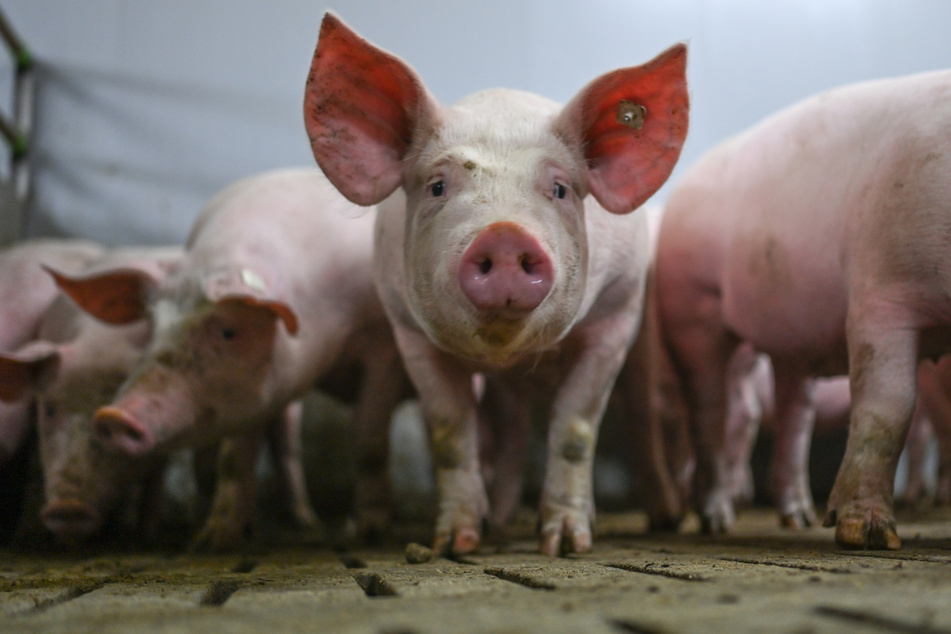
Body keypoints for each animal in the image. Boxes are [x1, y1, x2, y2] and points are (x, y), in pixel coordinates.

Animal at [56, 168, 410, 548]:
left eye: (229, 332)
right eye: (153, 324)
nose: (113, 416)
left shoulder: (383, 347)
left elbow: (370, 442)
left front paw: (369, 532)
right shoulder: (257, 392)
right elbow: (233, 458)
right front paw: (211, 541)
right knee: (283, 447)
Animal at [302, 11, 688, 552]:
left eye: (560, 189)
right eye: (437, 186)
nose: (504, 234)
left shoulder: (616, 315)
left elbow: (576, 429)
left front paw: (566, 545)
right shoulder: (408, 332)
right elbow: (450, 434)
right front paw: (454, 544)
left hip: (645, 326)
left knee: (641, 413)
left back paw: (665, 518)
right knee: (510, 427)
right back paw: (499, 522)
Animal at [660, 65, 951, 548]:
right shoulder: (880, 291)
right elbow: (888, 407)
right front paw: (867, 536)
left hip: (790, 337)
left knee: (794, 415)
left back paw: (797, 518)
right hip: (693, 305)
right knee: (712, 410)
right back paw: (716, 520)